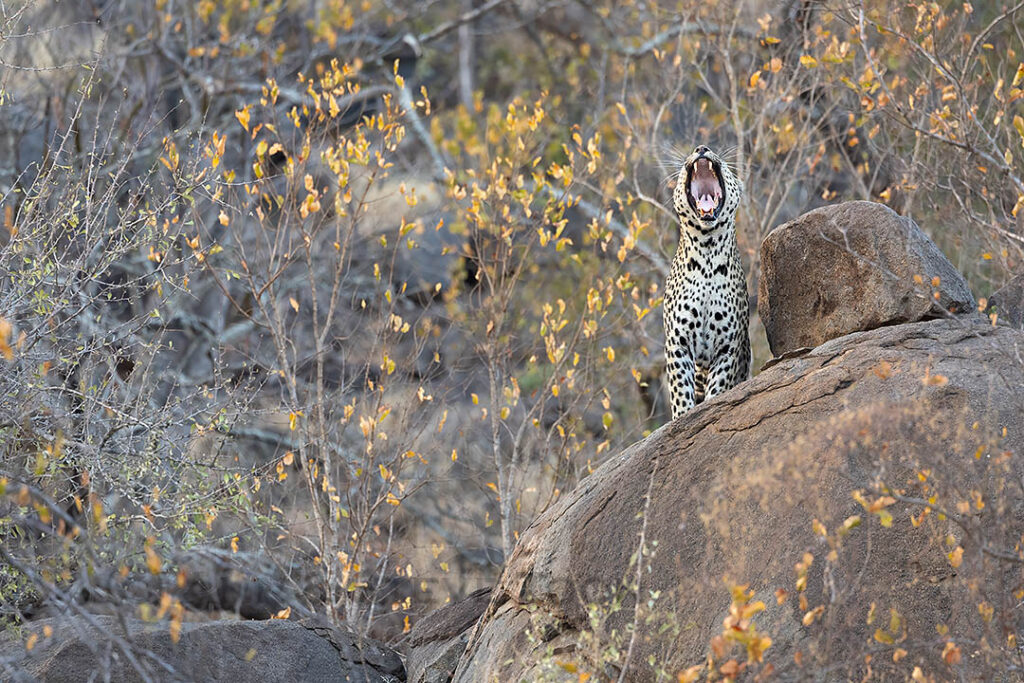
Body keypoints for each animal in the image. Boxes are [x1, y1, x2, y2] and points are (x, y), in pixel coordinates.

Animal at [663, 145, 750, 418]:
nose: (701, 148)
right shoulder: (677, 343)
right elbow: (681, 391)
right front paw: (683, 418)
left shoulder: (727, 347)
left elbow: (718, 388)